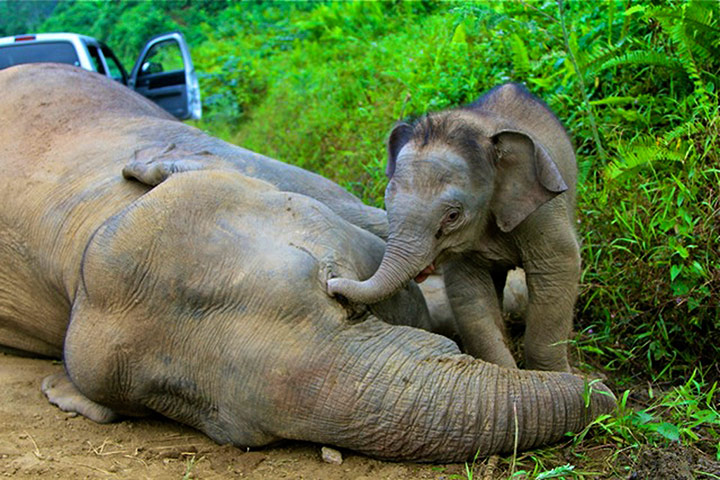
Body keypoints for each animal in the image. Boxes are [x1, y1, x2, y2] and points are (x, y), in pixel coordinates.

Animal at [328, 83, 579, 372]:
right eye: (386, 202)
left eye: (452, 216)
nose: (331, 285)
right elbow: (468, 293)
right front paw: (506, 372)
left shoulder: (542, 211)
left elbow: (558, 268)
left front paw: (557, 375)